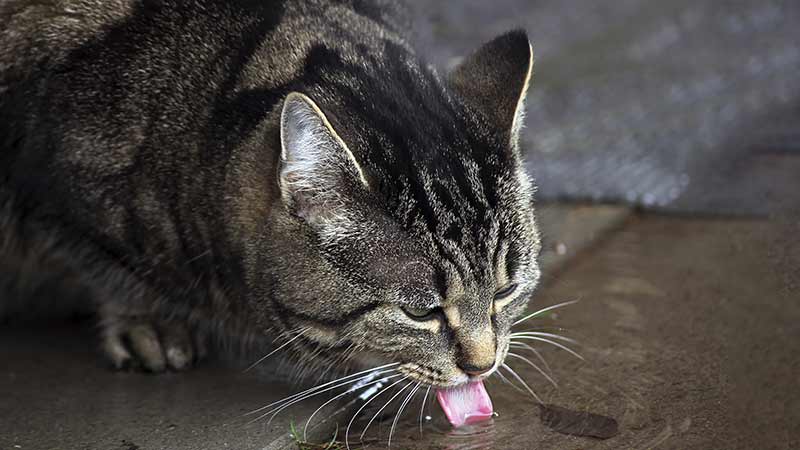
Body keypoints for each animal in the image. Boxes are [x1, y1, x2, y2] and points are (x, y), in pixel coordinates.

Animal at [0, 0, 540, 426]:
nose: (483, 366)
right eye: (420, 312)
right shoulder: (47, 182)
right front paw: (148, 320)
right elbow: (101, 264)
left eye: (506, 291)